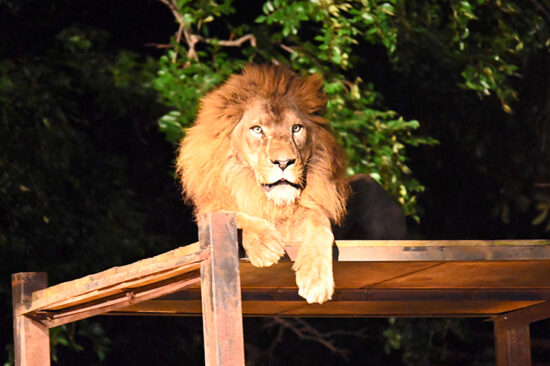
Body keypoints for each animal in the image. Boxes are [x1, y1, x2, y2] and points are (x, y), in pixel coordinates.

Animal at [177, 63, 350, 304]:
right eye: (257, 129)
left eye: (296, 128)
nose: (284, 162)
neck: (269, 201)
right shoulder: (213, 212)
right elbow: (236, 216)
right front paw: (265, 244)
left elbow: (320, 223)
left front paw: (316, 281)